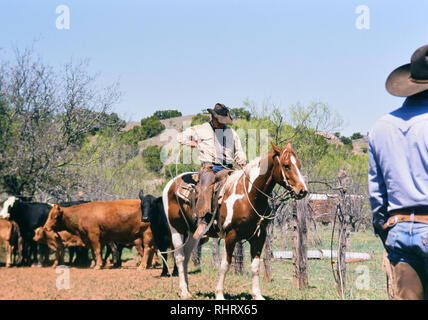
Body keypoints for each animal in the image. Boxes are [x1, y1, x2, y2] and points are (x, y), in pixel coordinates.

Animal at [163, 141, 308, 298]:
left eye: (299, 165)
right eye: (286, 165)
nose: (303, 190)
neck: (249, 195)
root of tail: (172, 183)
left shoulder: (259, 236)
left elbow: (255, 266)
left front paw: (257, 295)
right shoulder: (230, 236)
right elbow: (225, 265)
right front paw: (219, 294)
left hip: (193, 232)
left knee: (187, 255)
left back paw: (187, 289)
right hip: (176, 229)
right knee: (179, 257)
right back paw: (184, 291)